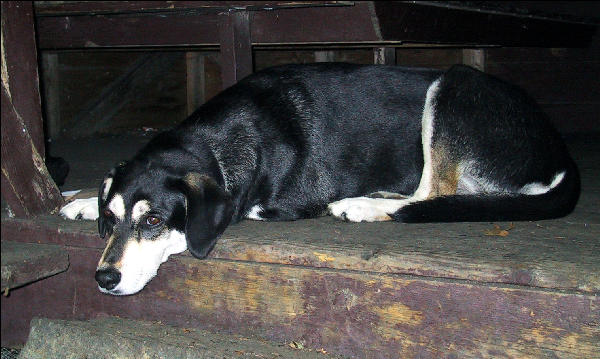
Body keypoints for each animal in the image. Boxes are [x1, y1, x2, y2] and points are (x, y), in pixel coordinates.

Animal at [59, 64, 576, 296]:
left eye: (154, 223)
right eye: (112, 220)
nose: (104, 278)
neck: (218, 137)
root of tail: (559, 147)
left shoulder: (278, 200)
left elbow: (241, 204)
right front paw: (79, 198)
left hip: (452, 85)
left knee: (436, 191)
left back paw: (364, 204)